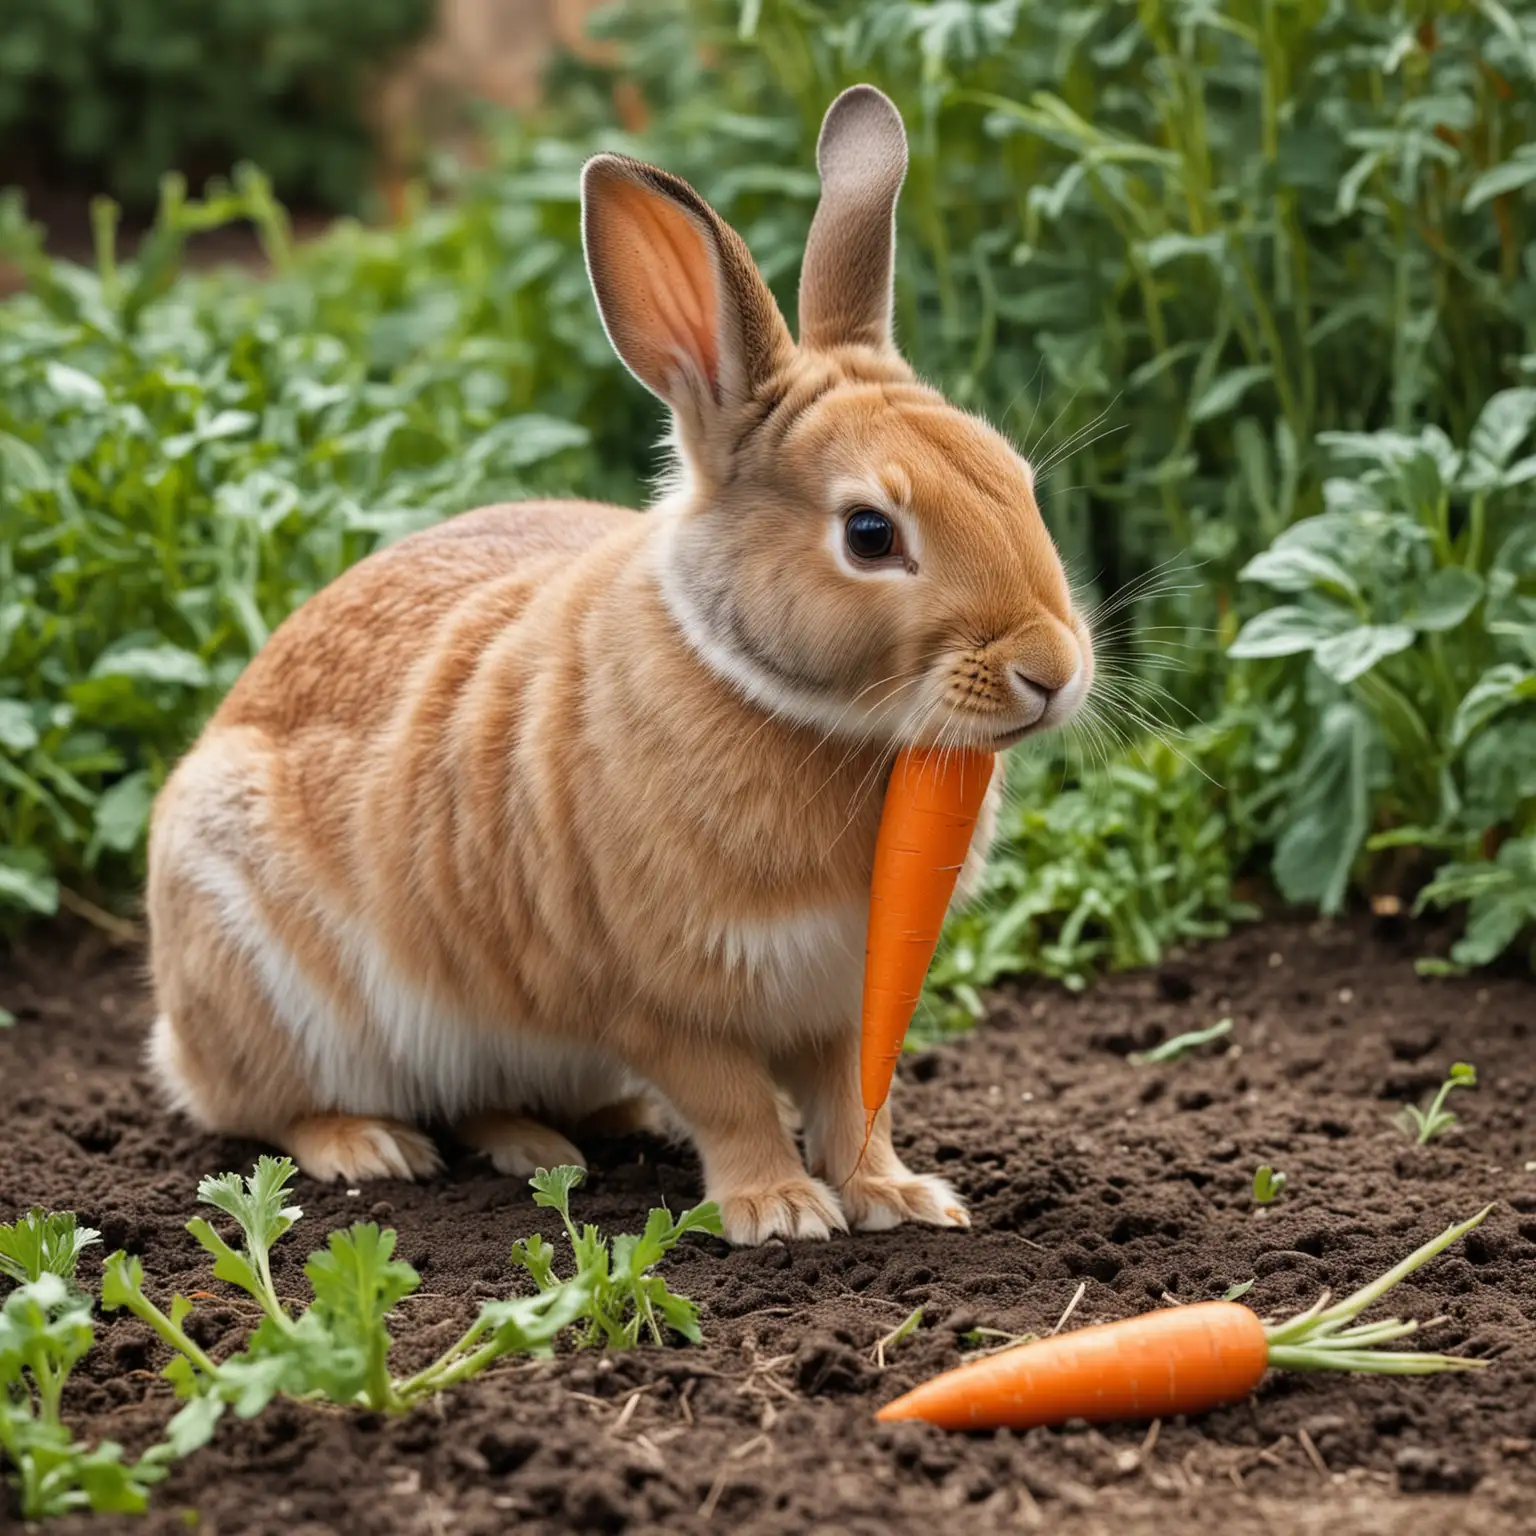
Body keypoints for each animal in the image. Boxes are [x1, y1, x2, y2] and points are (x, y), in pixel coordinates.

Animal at [144, 84, 1093, 1241]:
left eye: (1015, 477)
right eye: (870, 535)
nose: (1053, 669)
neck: (776, 698)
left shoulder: (835, 1000)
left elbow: (849, 1099)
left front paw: (896, 1198)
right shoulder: (656, 998)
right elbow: (732, 1100)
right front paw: (780, 1212)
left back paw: (559, 1140)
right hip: (274, 987)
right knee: (271, 1108)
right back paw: (374, 1148)